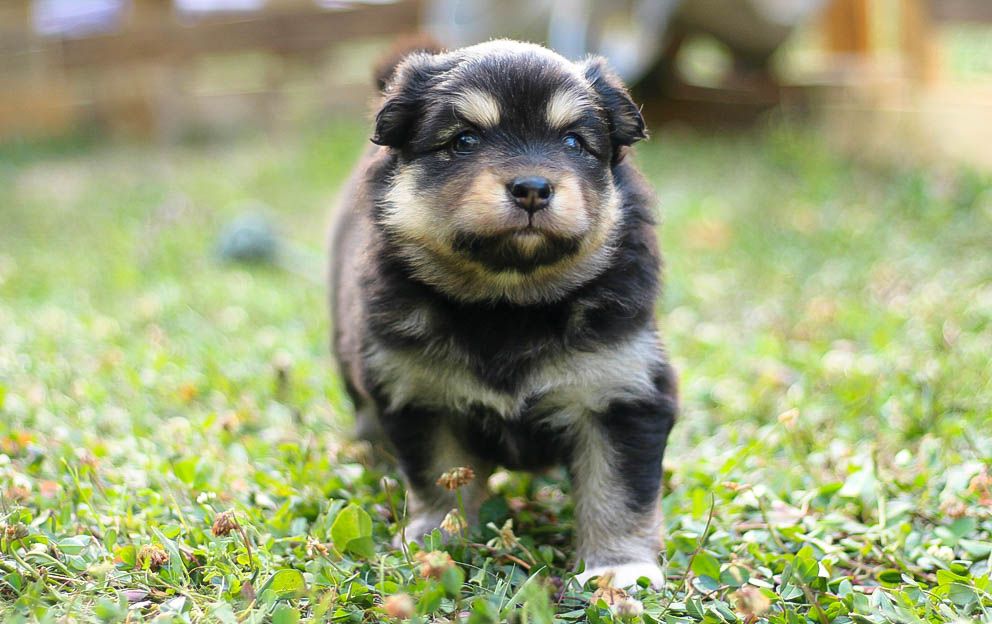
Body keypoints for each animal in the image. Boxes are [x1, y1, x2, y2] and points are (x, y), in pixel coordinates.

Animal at [330, 40, 680, 588]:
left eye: (574, 142)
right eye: (464, 140)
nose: (533, 187)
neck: (509, 302)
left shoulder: (622, 392)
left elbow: (617, 490)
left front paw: (618, 569)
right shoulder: (419, 396)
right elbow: (439, 478)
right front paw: (437, 543)